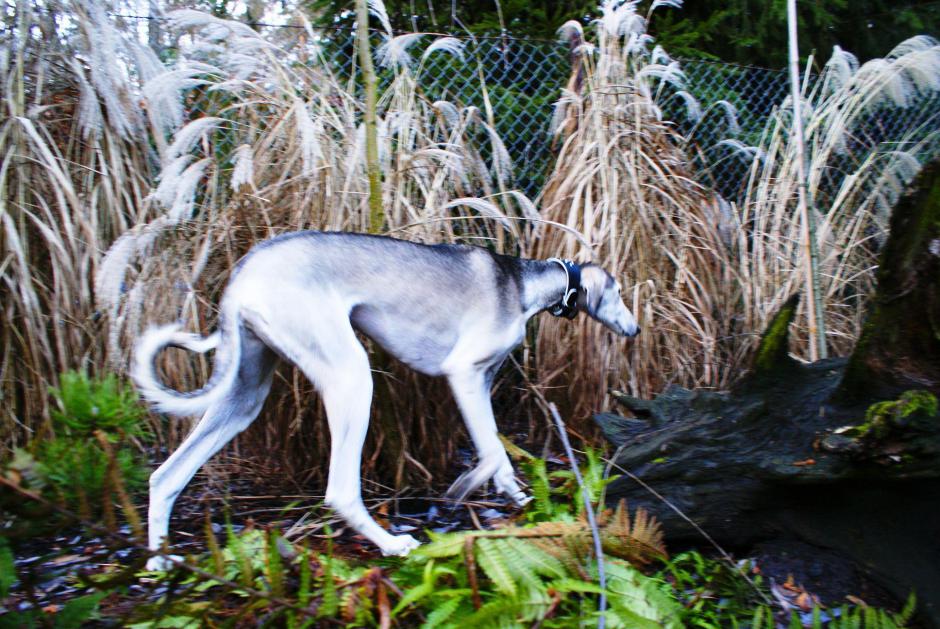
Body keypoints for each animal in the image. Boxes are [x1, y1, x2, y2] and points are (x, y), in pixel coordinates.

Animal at [134, 231, 640, 568]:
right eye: (617, 291)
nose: (635, 330)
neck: (522, 285)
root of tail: (244, 272)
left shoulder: (480, 382)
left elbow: (497, 449)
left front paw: (514, 494)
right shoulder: (463, 374)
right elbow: (494, 450)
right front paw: (466, 488)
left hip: (245, 394)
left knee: (165, 477)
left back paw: (159, 561)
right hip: (351, 379)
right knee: (340, 491)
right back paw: (392, 544)